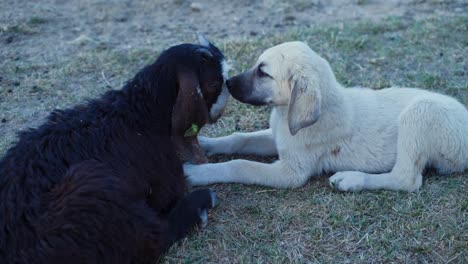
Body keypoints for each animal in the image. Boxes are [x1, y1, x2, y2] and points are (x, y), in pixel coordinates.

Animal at [184, 41, 468, 192]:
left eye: (263, 73)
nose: (228, 83)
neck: (285, 112)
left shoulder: (291, 172)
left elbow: (240, 165)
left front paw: (197, 173)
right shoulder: (277, 138)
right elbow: (241, 139)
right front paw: (208, 144)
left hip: (421, 113)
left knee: (406, 179)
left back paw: (351, 179)